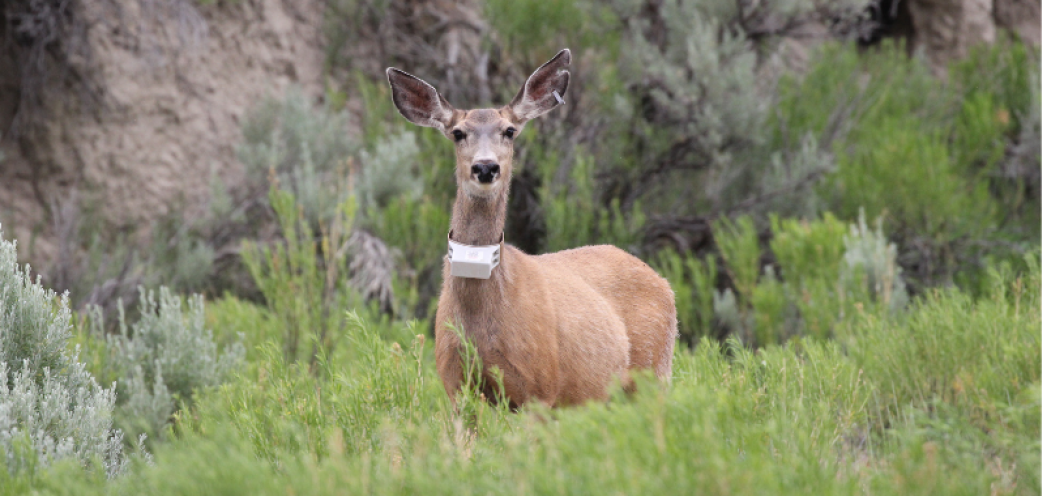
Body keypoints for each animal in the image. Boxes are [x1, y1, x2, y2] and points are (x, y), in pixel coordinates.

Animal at [387, 48, 676, 408]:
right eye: (458, 132)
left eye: (509, 130)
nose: (486, 167)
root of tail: (663, 282)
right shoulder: (456, 385)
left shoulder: (539, 385)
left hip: (655, 368)